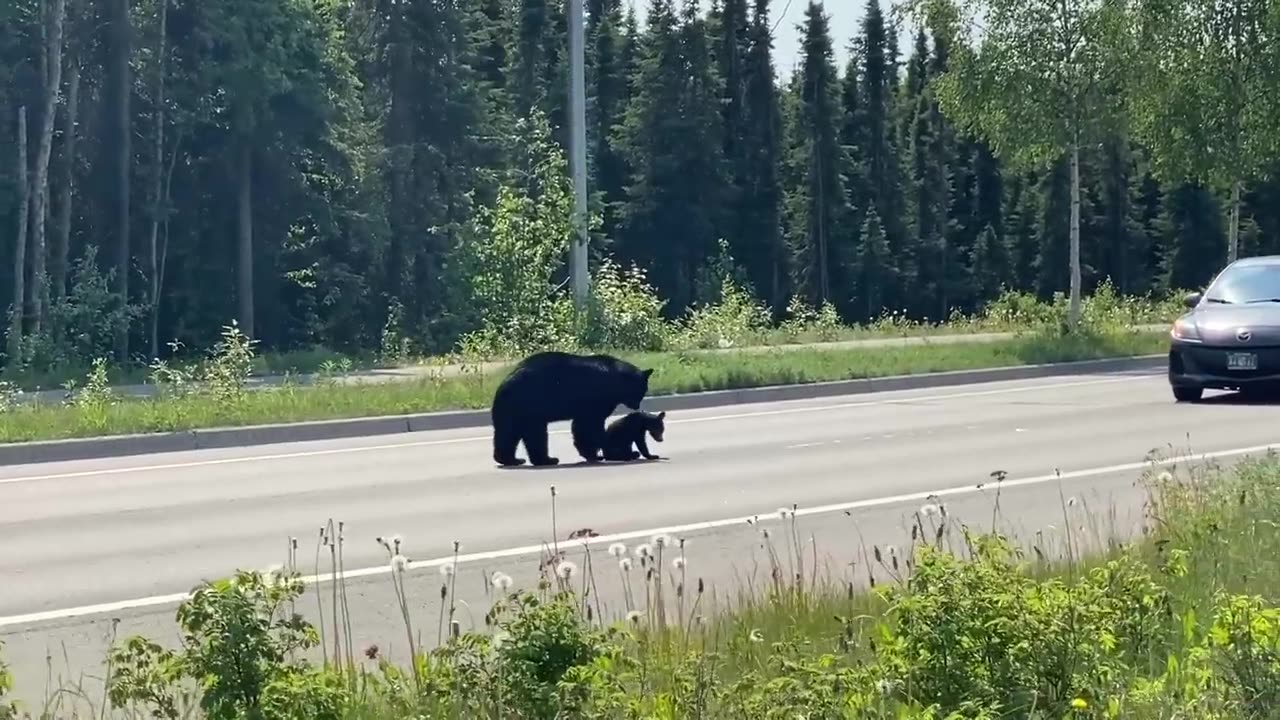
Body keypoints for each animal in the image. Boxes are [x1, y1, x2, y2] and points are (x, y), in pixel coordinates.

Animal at [486, 351, 655, 466]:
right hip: (528, 405)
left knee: (508, 433)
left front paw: (591, 454)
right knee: (534, 434)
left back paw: (511, 459)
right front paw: (608, 452)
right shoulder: (596, 399)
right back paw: (547, 459)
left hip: (514, 411)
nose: (637, 406)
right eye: (641, 390)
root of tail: (504, 384)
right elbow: (590, 425)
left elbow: (581, 426)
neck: (616, 380)